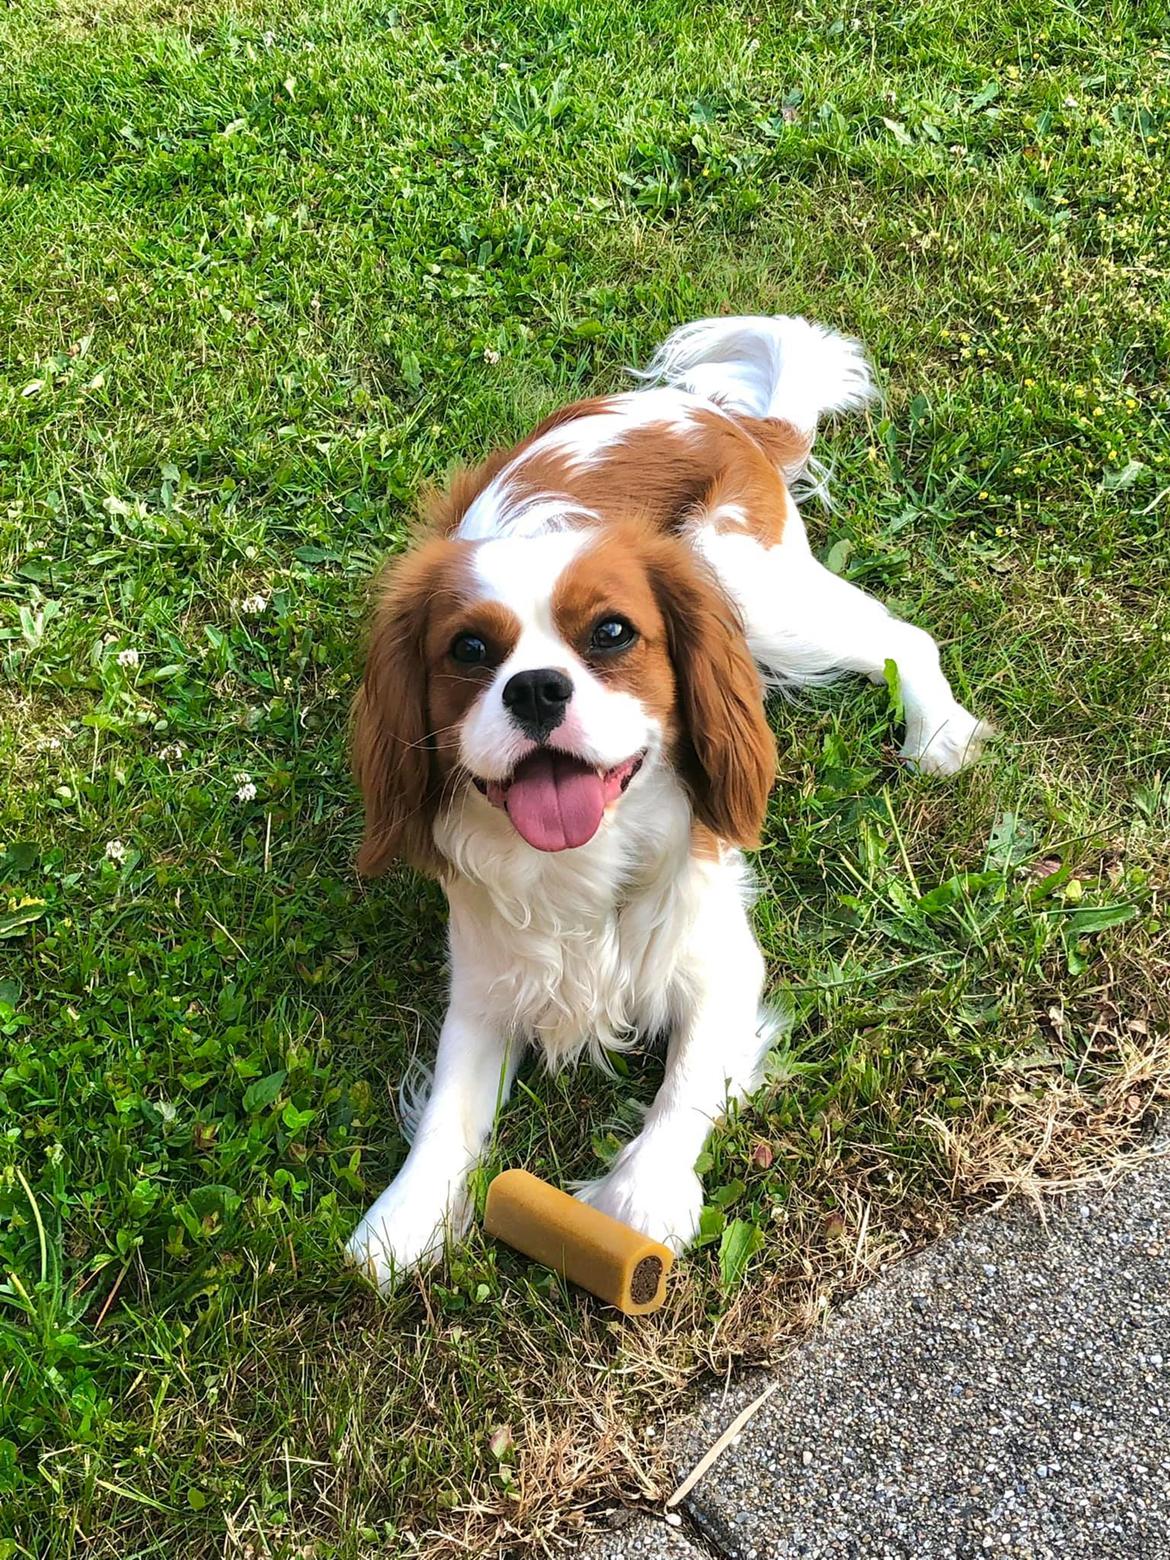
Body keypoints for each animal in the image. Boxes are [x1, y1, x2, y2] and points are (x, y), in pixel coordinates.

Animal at [347, 316, 992, 1291]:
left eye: (613, 633)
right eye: (468, 651)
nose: (535, 689)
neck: (581, 865)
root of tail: (708, 413)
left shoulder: (721, 960)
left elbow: (688, 1082)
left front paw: (642, 1196)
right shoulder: (487, 984)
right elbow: (448, 1115)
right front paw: (401, 1222)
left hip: (753, 593)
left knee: (899, 635)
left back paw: (938, 730)